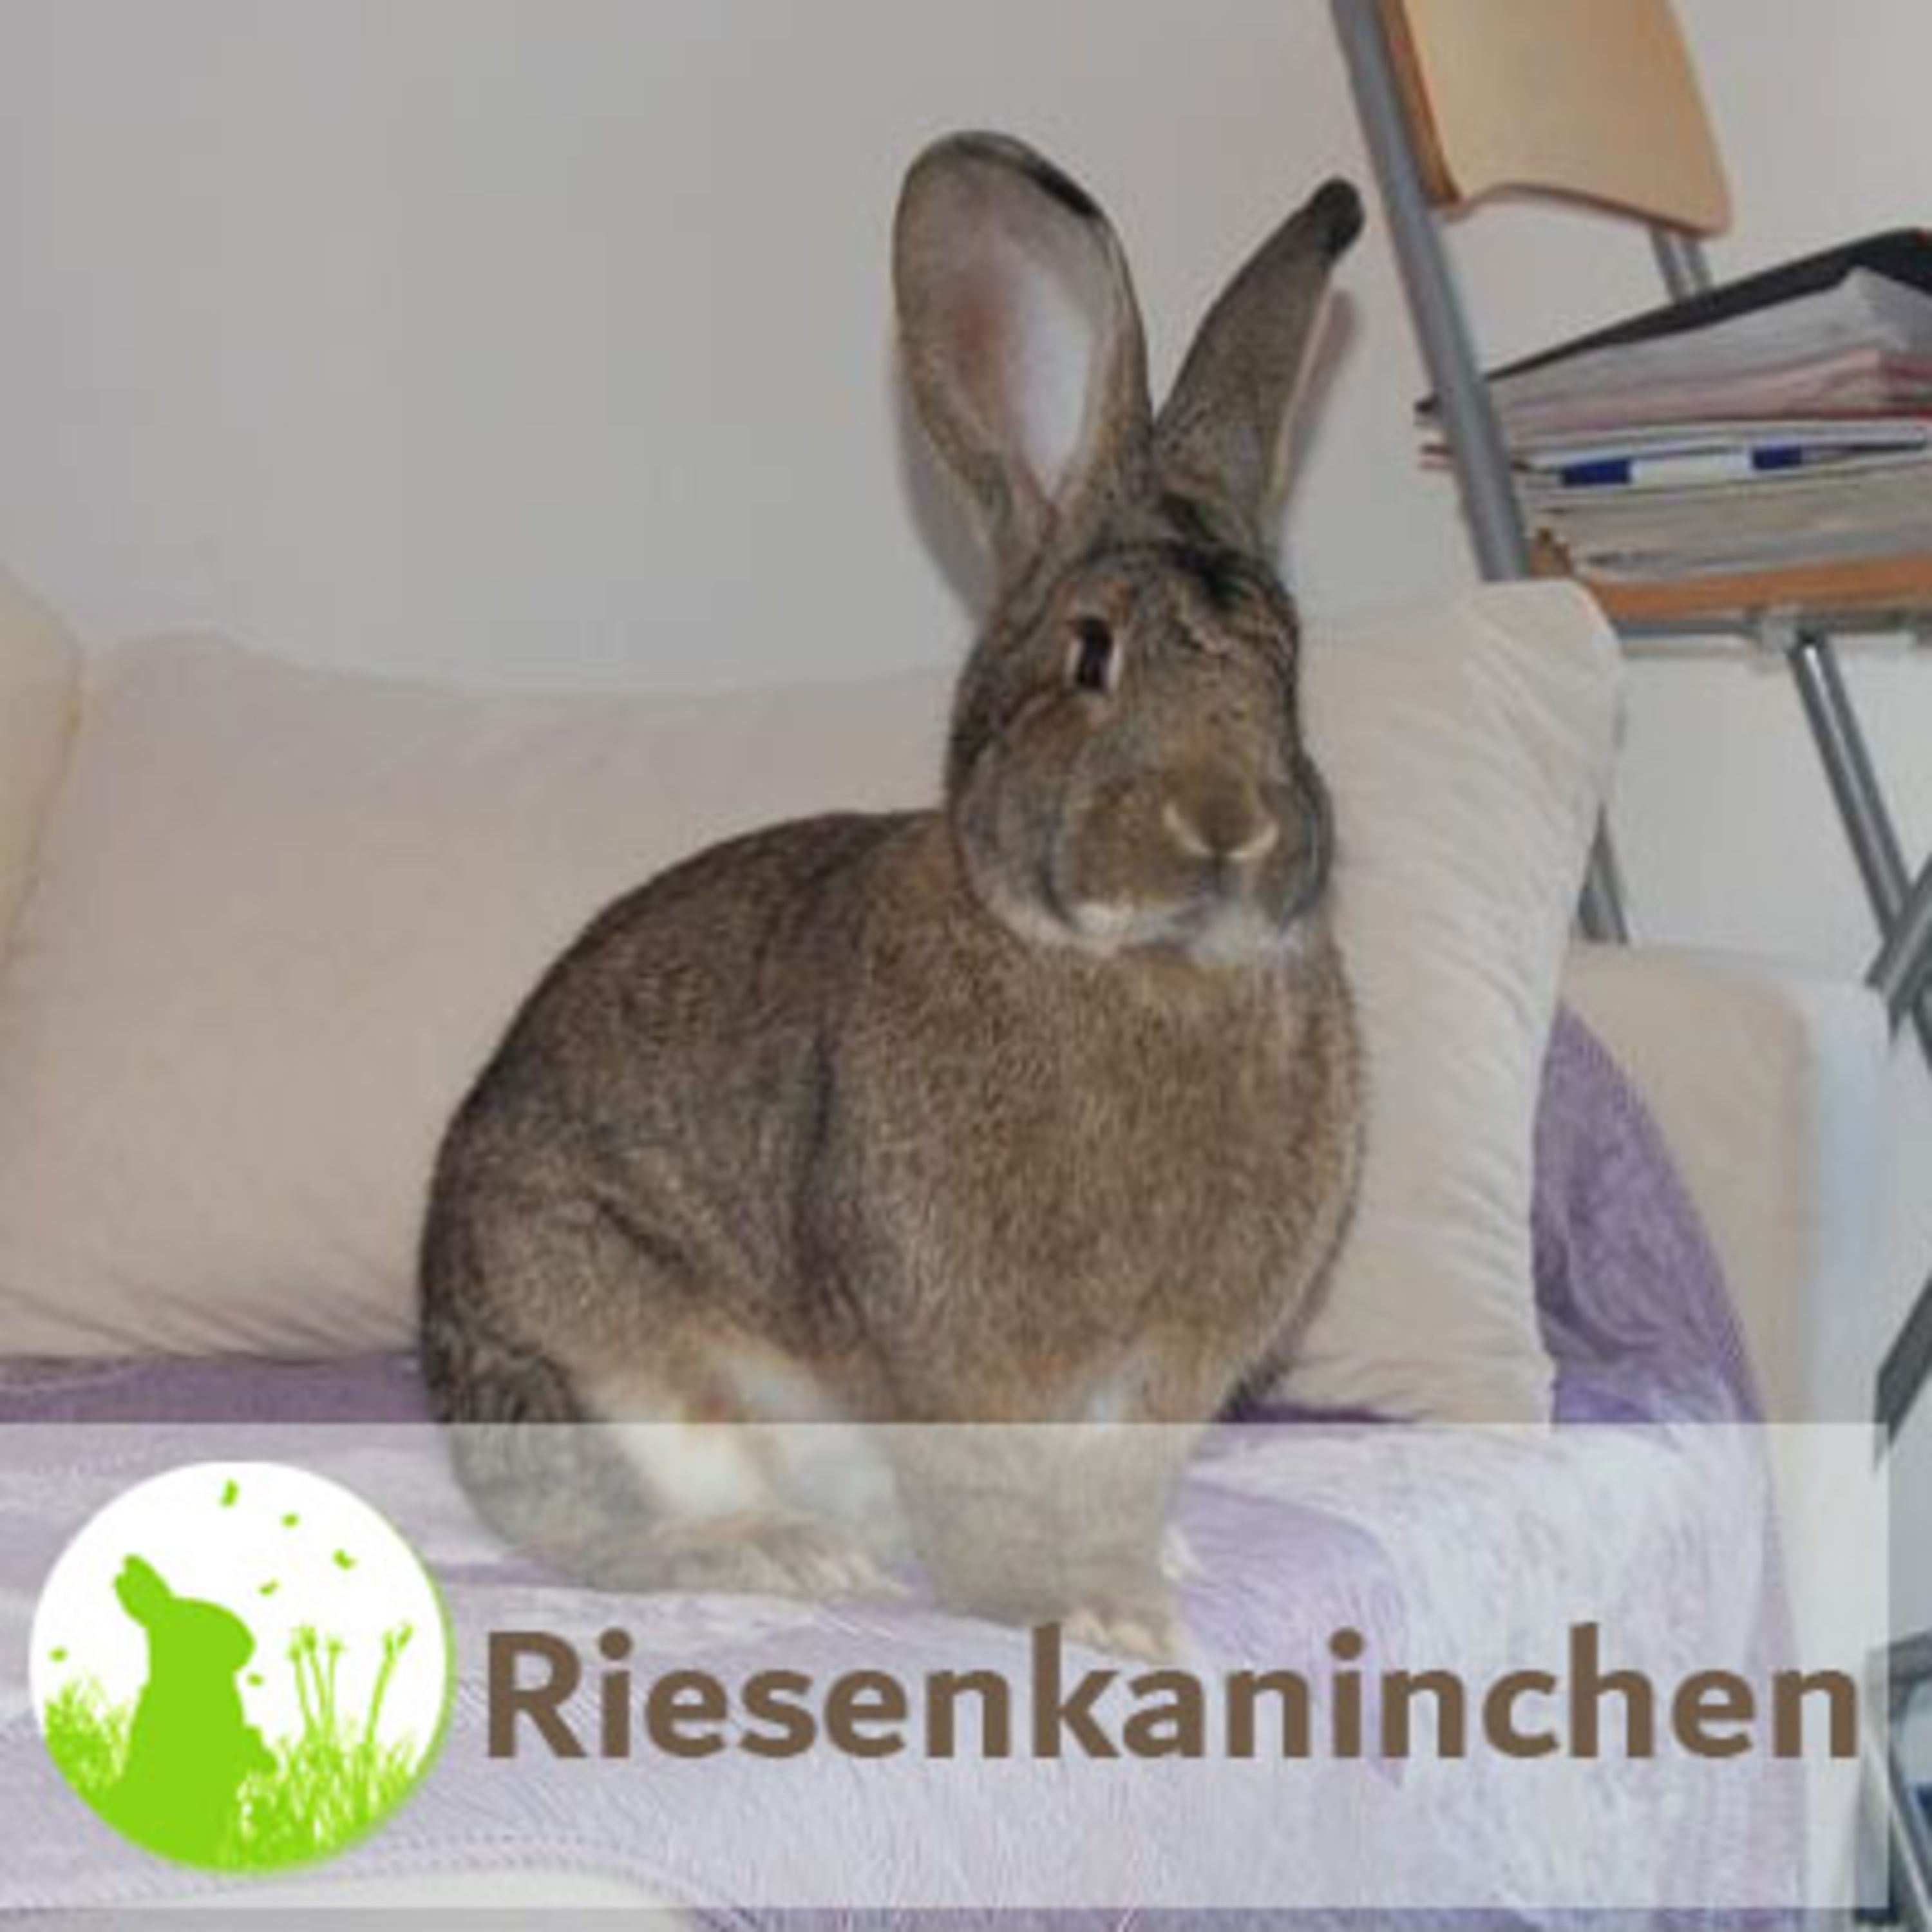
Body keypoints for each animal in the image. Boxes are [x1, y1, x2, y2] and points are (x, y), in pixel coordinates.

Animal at [420, 131, 1365, 1657]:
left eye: (1287, 666)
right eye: (1090, 655)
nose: (1228, 825)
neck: (1130, 965)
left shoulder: (1163, 1387)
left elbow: (1118, 1489)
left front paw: (1138, 1589)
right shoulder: (959, 1359)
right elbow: (989, 1499)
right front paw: (1080, 1616)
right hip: (611, 1368)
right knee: (611, 1533)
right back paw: (782, 1556)